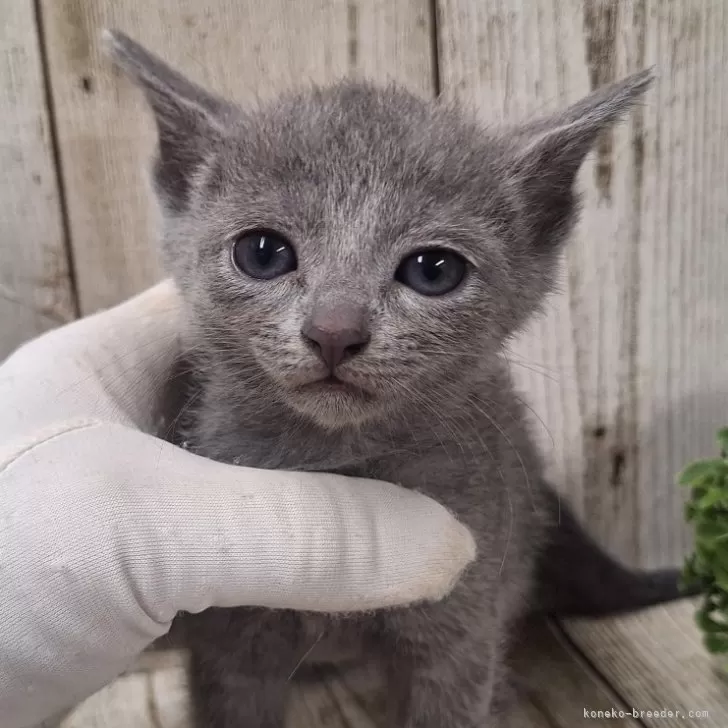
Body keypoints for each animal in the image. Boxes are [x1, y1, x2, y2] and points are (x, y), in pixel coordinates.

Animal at [106, 29, 688, 728]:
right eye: (262, 253)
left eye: (433, 270)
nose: (334, 330)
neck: (336, 460)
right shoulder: (230, 639)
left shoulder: (462, 620)